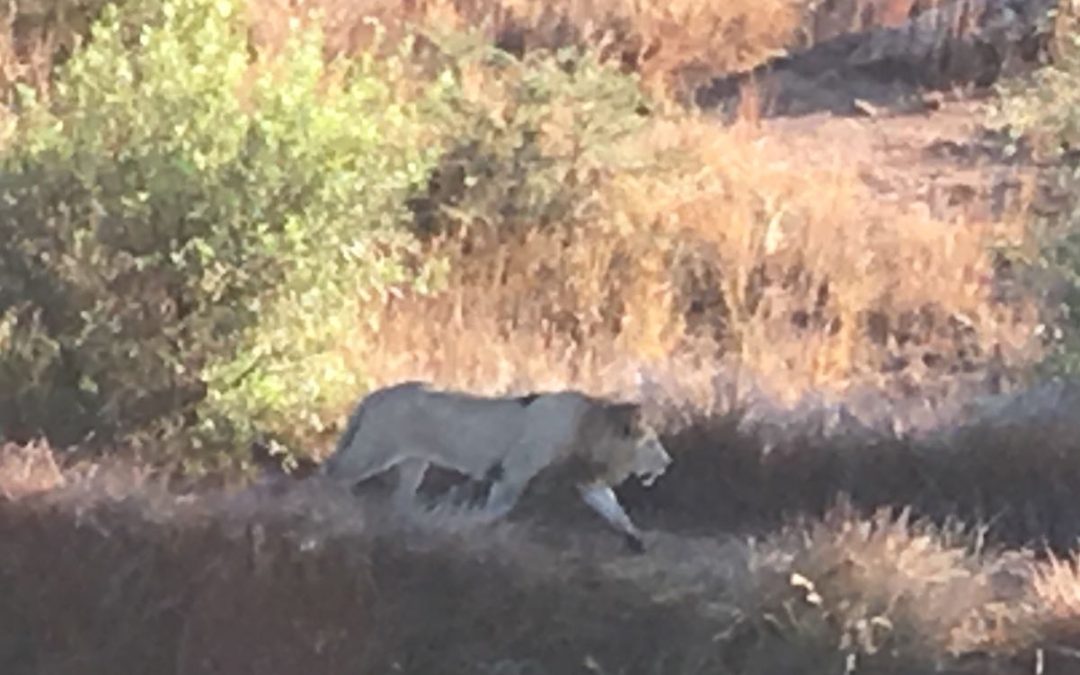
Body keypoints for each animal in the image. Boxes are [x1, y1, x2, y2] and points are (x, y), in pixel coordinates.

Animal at [319, 381, 672, 552]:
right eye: (651, 443)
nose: (668, 462)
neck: (588, 431)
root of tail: (375, 395)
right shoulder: (513, 472)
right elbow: (496, 509)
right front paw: (467, 525)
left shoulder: (586, 480)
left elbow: (615, 511)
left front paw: (637, 542)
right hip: (374, 451)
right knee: (332, 475)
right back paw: (325, 507)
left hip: (413, 463)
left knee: (400, 501)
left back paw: (409, 524)